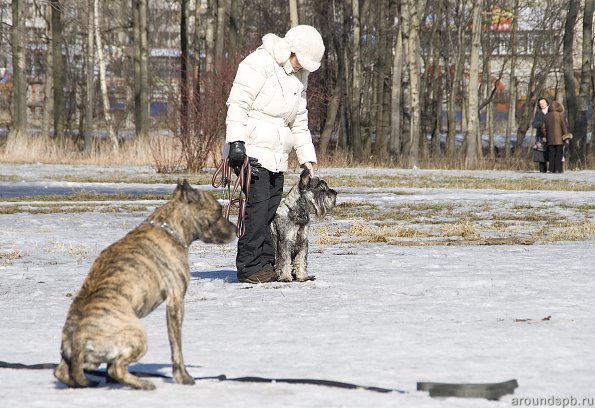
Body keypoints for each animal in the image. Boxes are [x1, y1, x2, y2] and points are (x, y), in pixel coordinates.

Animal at [53, 180, 235, 390]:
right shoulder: (175, 301)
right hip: (138, 336)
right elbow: (177, 348)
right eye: (218, 210)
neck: (169, 227)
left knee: (62, 371)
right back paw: (143, 383)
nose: (236, 229)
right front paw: (183, 377)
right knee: (117, 368)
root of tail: (78, 342)